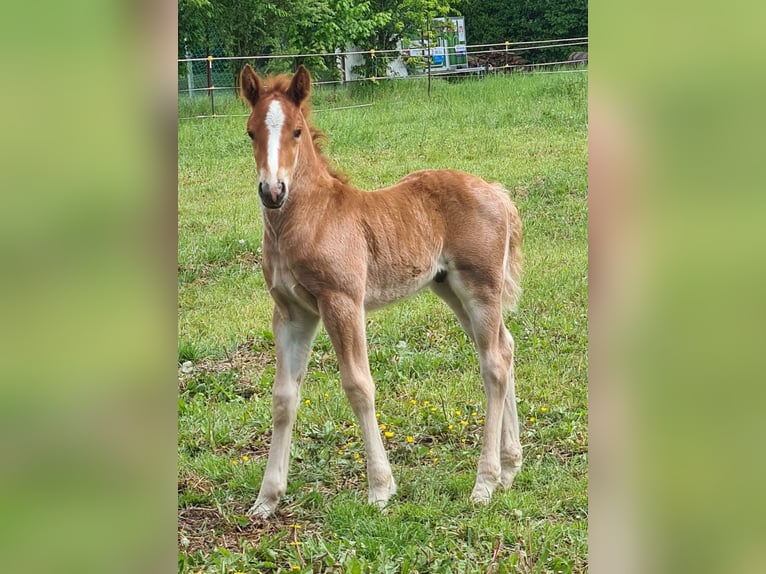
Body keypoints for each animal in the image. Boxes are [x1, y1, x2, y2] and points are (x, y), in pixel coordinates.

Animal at [239, 64, 523, 517]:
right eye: (250, 132)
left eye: (297, 131)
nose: (273, 192)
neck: (311, 219)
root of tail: (496, 191)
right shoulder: (291, 312)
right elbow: (284, 396)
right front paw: (267, 499)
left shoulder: (342, 302)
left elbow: (359, 385)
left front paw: (380, 488)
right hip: (452, 289)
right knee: (504, 347)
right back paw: (511, 467)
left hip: (480, 287)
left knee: (493, 363)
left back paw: (485, 482)